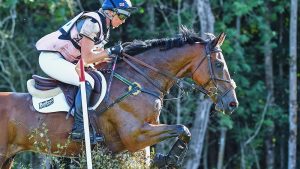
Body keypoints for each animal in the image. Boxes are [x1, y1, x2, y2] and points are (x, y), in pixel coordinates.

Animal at [0, 28, 238, 169]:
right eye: (219, 65)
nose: (232, 103)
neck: (139, 80)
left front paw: (165, 158)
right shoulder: (135, 135)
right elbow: (183, 129)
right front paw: (171, 159)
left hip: (8, 157)